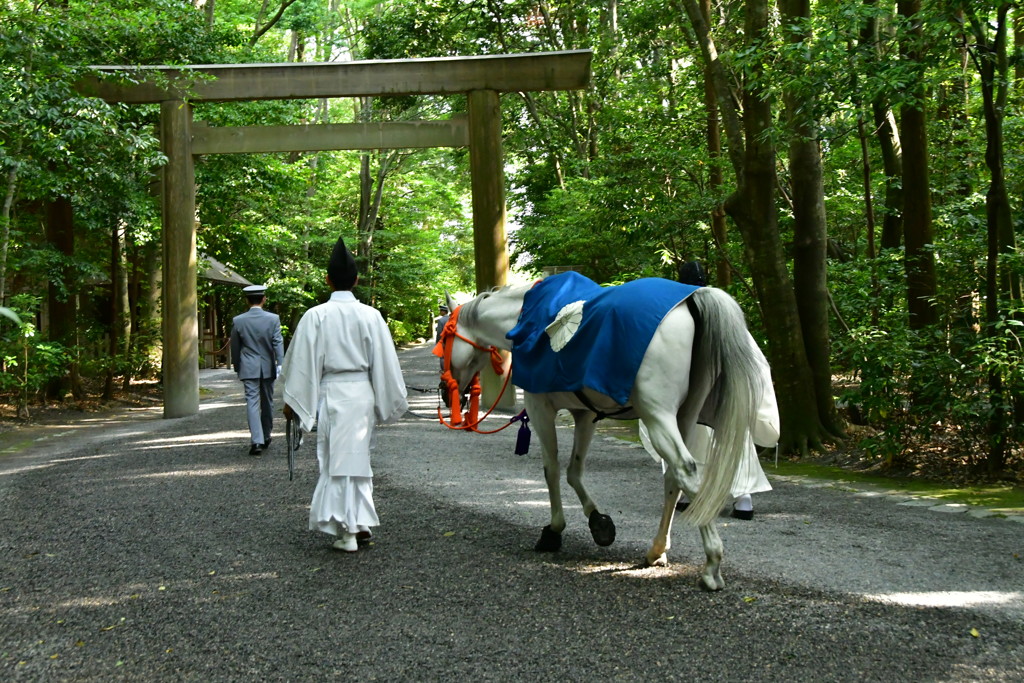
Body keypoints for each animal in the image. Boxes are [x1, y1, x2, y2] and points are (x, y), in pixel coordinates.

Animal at [440, 280, 770, 589]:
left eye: (442, 337)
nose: (445, 391)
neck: (525, 317)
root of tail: (691, 300)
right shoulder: (585, 414)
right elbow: (573, 471)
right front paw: (598, 522)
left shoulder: (539, 407)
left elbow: (551, 470)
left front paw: (553, 531)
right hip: (685, 416)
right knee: (673, 479)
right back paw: (657, 550)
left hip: (658, 415)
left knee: (685, 470)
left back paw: (712, 564)